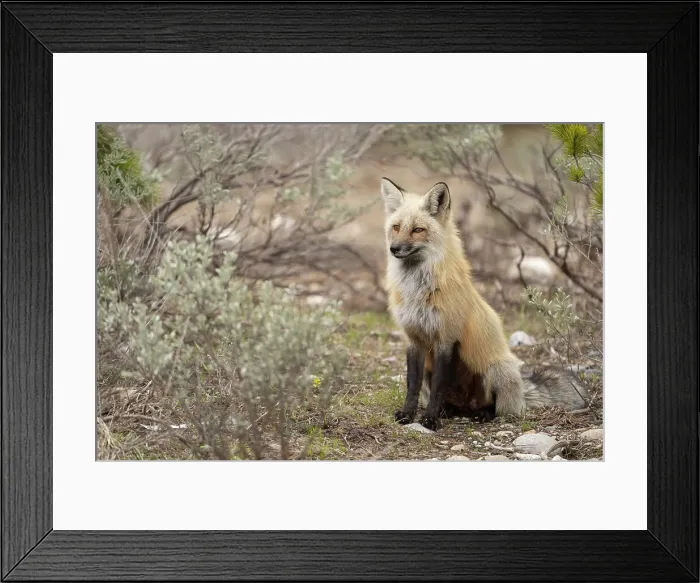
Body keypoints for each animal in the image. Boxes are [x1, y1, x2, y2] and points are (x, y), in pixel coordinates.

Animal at [379, 177, 588, 431]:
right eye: (396, 227)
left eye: (418, 230)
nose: (394, 248)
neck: (418, 291)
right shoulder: (414, 339)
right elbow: (412, 384)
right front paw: (408, 414)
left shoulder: (446, 339)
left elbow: (439, 386)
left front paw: (430, 419)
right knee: (449, 401)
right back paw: (448, 411)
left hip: (494, 371)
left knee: (496, 407)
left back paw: (482, 414)